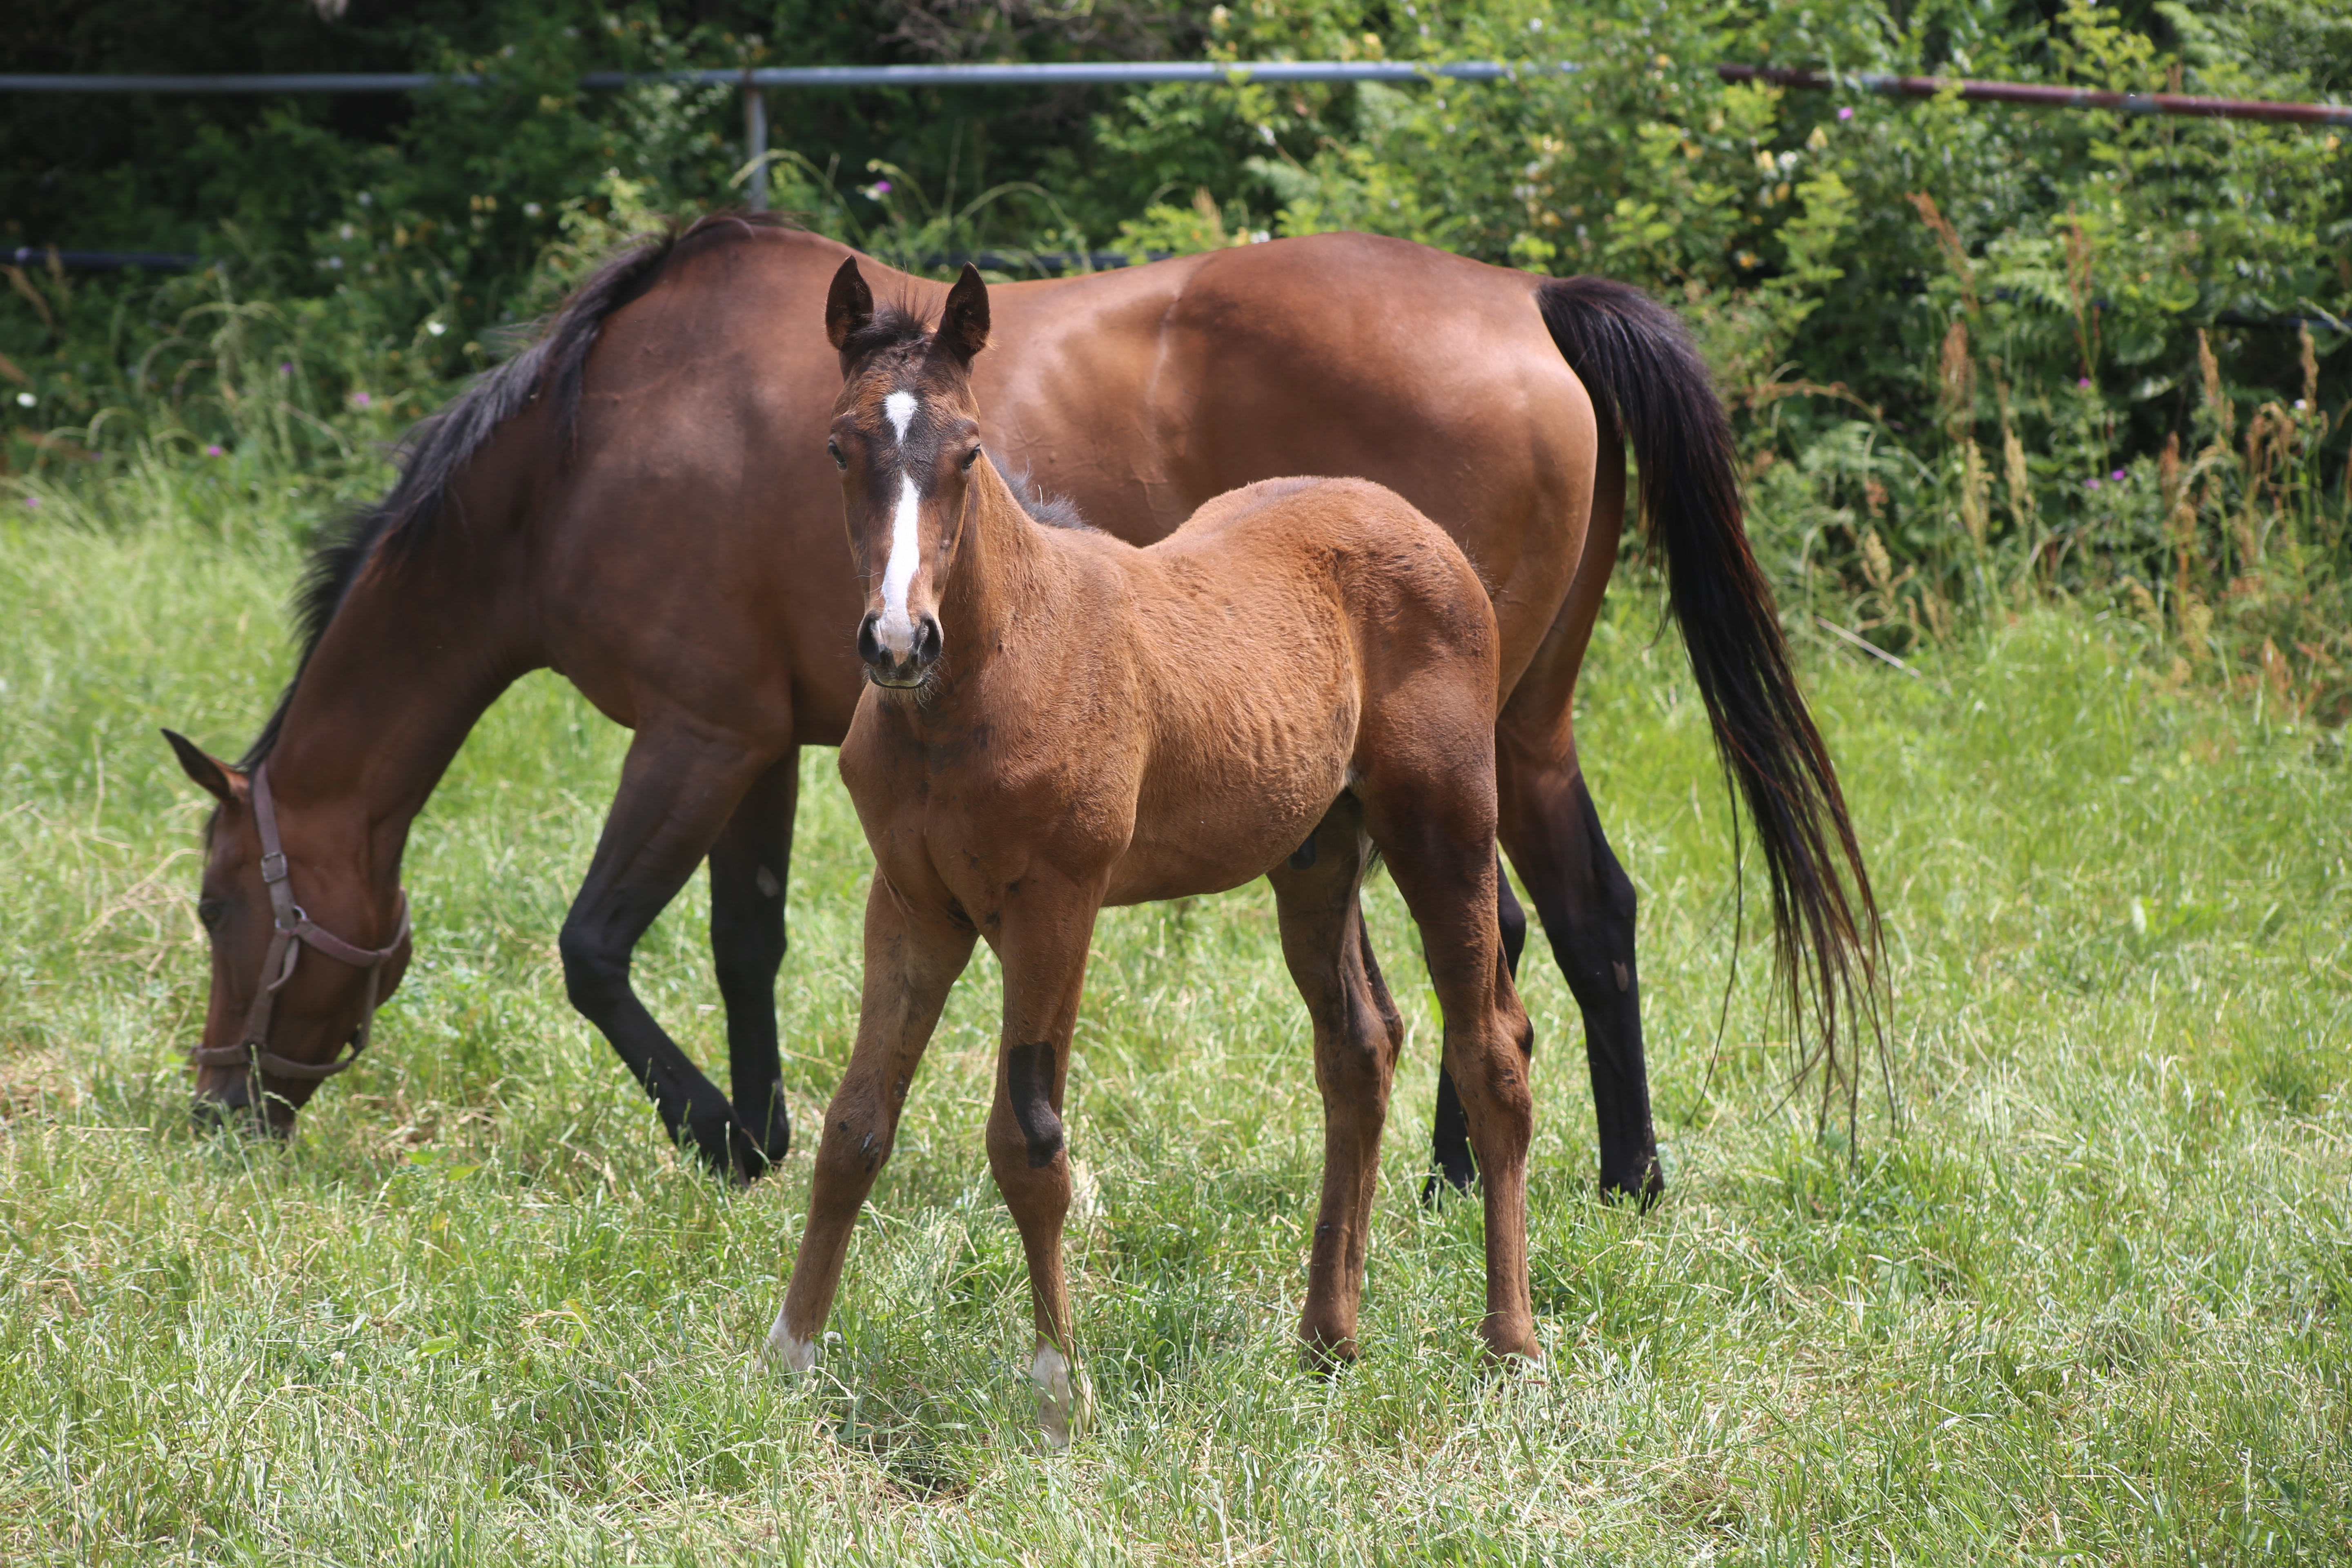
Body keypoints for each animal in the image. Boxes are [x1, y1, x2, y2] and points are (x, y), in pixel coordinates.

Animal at [166, 215, 1872, 1203]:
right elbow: (742, 942)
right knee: (1575, 918)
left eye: (215, 907)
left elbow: (595, 950)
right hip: (1520, 728)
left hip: (1441, 750)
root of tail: (1527, 302)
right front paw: (767, 1133)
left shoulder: (693, 735)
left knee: (1505, 928)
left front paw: (715, 1132)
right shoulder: (761, 740)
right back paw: (1594, 1175)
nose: (218, 1107)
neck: (592, 444)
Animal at [766, 267, 1543, 1439]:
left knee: (1491, 1047)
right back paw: (1327, 1340)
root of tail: (1411, 520)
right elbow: (854, 1125)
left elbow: (1029, 1139)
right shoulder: (909, 905)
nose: (896, 642)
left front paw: (1058, 1393)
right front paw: (788, 1360)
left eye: (970, 451)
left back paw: (1512, 1348)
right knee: (1360, 1048)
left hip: (1444, 824)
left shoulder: (1056, 904)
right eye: (838, 447)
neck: (977, 681)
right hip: (1318, 854)